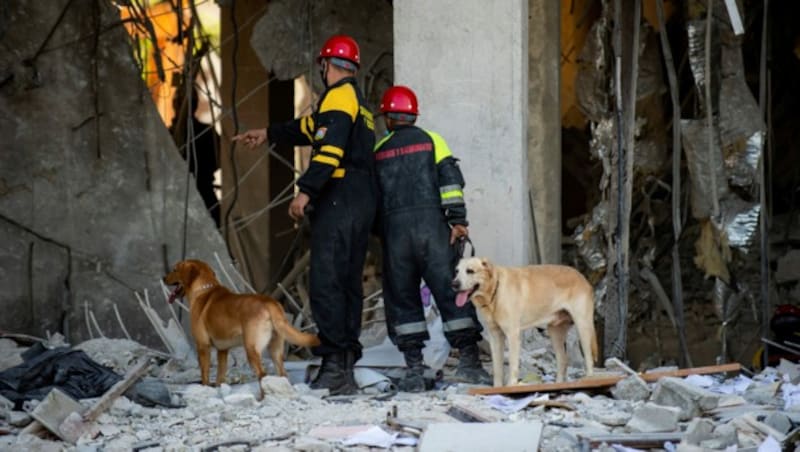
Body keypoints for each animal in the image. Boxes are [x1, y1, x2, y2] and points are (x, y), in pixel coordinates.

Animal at [162, 260, 318, 398]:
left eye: (175, 269)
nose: (163, 278)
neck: (203, 289)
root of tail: (269, 302)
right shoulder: (222, 350)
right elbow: (220, 376)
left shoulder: (202, 346)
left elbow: (205, 375)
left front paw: (204, 390)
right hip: (275, 350)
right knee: (283, 374)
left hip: (251, 349)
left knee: (263, 375)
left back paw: (263, 399)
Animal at [454, 256, 596, 386]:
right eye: (457, 271)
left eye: (470, 271)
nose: (454, 284)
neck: (495, 291)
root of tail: (581, 276)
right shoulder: (495, 337)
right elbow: (497, 369)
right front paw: (497, 388)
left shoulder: (512, 335)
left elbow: (512, 365)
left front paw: (511, 386)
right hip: (554, 331)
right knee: (563, 360)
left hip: (583, 326)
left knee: (589, 359)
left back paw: (588, 379)